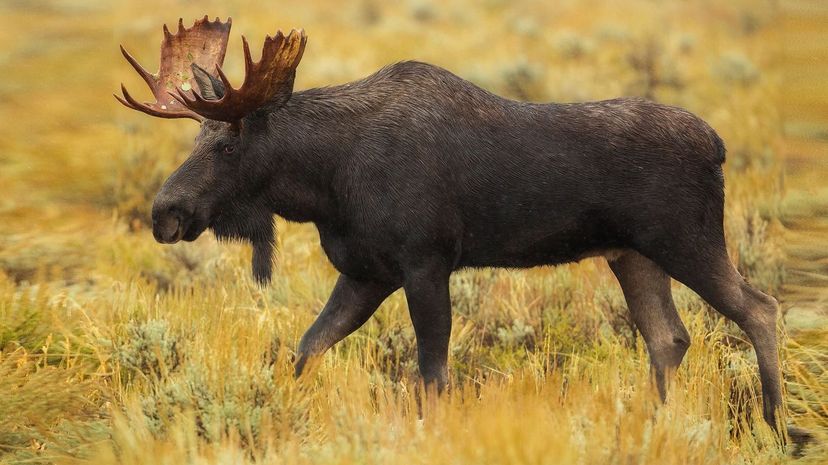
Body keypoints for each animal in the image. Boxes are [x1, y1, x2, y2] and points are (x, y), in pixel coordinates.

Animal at [115, 17, 798, 441]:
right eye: (196, 138)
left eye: (228, 143)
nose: (164, 213)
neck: (326, 182)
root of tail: (718, 146)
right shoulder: (366, 273)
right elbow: (306, 350)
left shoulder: (425, 261)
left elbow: (432, 375)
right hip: (631, 255)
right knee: (669, 337)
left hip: (686, 238)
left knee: (760, 307)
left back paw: (773, 422)